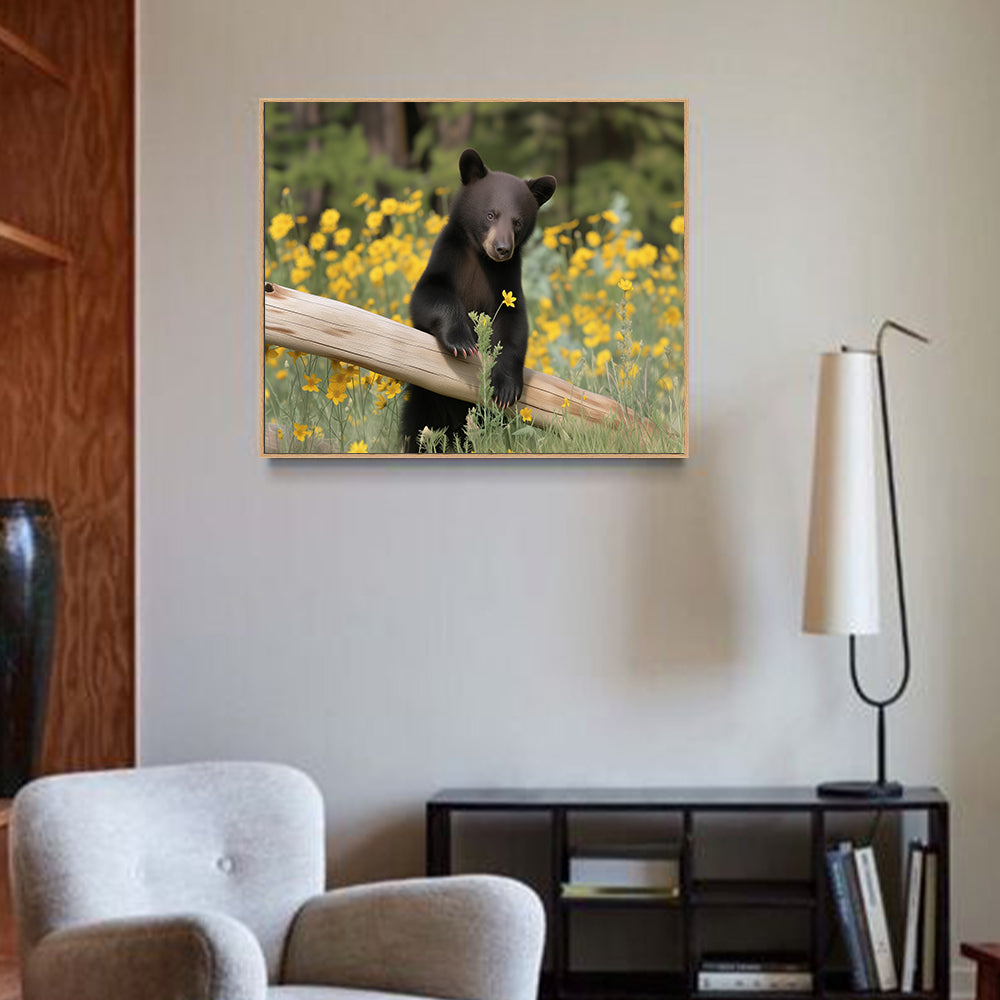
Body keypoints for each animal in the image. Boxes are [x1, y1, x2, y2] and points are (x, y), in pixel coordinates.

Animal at [401, 148, 556, 452]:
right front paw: (462, 341)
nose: (502, 248)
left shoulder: (506, 282)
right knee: (417, 427)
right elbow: (428, 296)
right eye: (490, 214)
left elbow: (514, 326)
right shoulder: (447, 259)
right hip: (425, 398)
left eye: (517, 222)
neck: (480, 258)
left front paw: (506, 386)